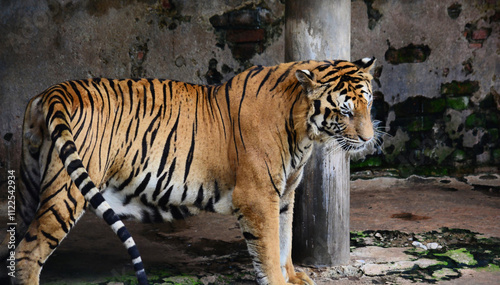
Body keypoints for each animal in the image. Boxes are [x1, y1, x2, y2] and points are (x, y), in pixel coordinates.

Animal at [0, 56, 376, 282]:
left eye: (368, 104)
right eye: (344, 110)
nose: (370, 139)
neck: (304, 130)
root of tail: (55, 90)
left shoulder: (283, 195)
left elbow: (285, 241)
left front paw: (294, 277)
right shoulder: (258, 196)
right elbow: (269, 249)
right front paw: (279, 280)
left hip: (31, 187)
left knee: (14, 241)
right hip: (67, 191)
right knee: (28, 253)